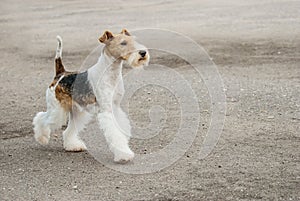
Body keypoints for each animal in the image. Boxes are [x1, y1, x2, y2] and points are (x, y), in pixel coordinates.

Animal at [32, 29, 150, 163]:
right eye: (123, 43)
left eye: (133, 40)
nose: (143, 53)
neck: (111, 73)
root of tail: (61, 74)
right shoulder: (107, 111)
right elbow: (115, 133)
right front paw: (124, 155)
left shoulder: (115, 108)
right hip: (57, 110)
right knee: (41, 118)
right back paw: (42, 138)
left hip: (77, 112)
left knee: (67, 131)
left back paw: (73, 146)